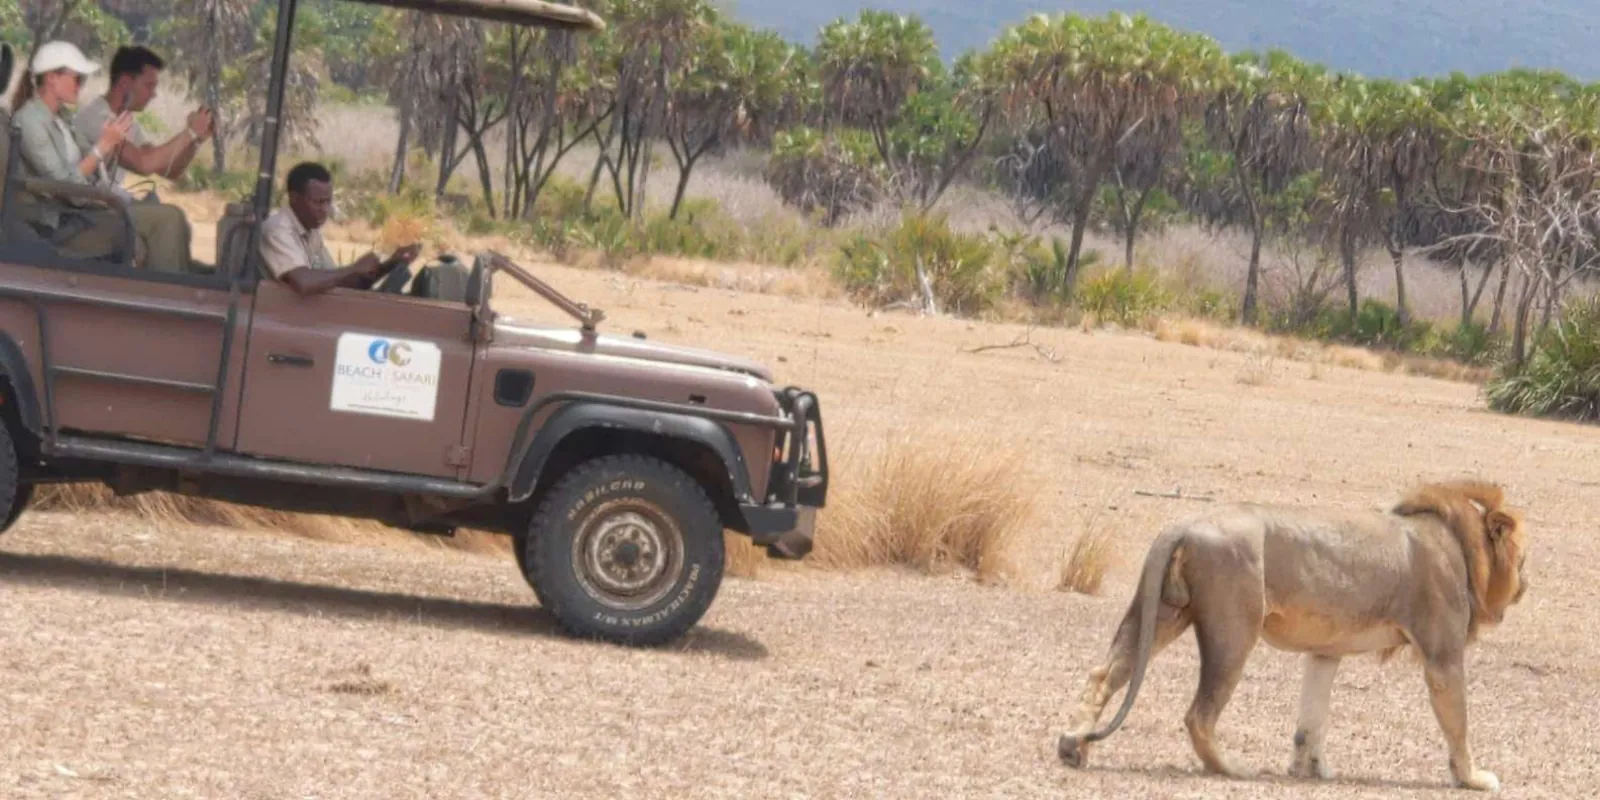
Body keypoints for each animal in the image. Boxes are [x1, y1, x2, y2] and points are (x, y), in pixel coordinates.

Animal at [1055, 479, 1529, 793]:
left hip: (1163, 613)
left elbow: (1311, 718)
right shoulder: (1442, 654)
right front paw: (1474, 778)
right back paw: (1234, 769)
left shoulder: (1325, 652)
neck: (1462, 545)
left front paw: (1310, 769)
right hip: (1233, 629)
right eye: (1523, 559)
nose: (1526, 584)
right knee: (1199, 713)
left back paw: (1073, 744)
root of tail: (1184, 523)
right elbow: (1459, 722)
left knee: (1104, 673)